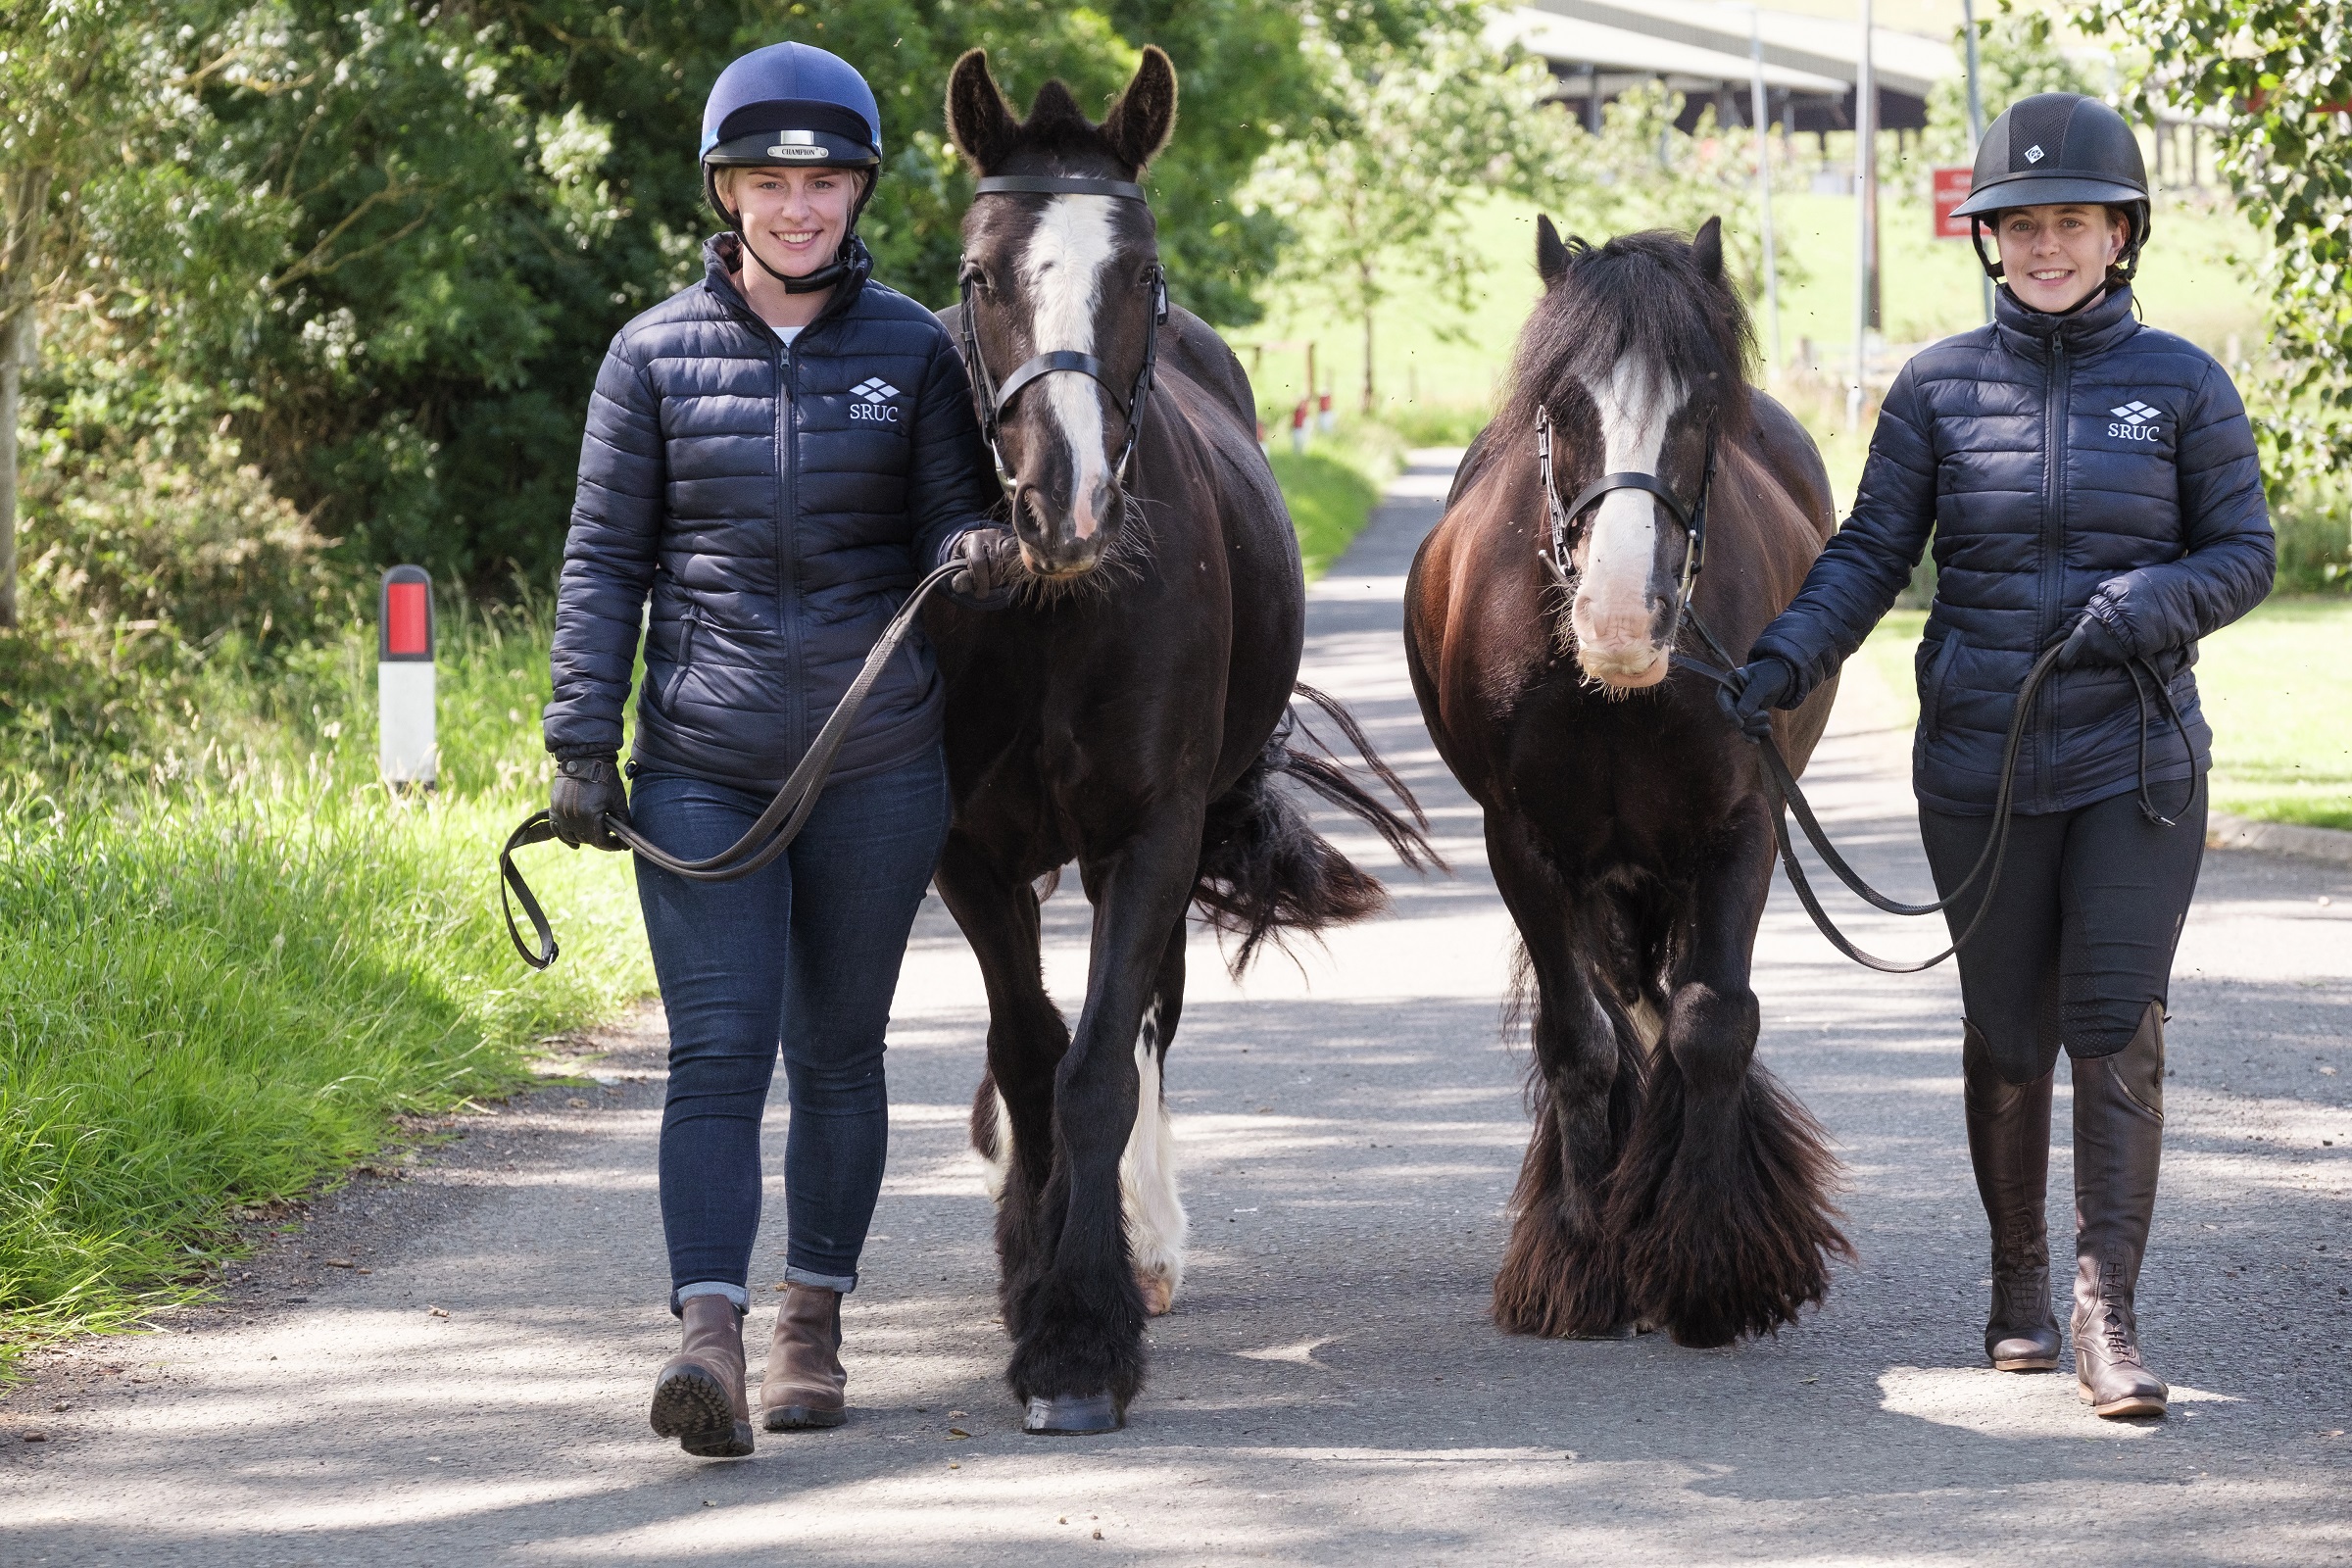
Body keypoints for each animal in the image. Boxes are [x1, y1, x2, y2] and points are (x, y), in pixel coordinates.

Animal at [925, 46, 1432, 1433]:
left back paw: (1141, 1242)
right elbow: (1029, 1053)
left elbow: (1100, 1063)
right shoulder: (968, 853)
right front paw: (1030, 1274)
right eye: (978, 273)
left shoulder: (1149, 830)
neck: (1049, 609)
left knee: (1148, 1015)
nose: (1067, 500)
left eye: (1141, 274)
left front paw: (1079, 1335)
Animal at [1402, 217, 1851, 1348]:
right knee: (1617, 1008)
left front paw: (1706, 1266)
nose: (1618, 619)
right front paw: (1582, 1260)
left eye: (1700, 406)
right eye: (1563, 406)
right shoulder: (1526, 846)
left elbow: (1711, 1023)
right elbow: (1581, 1041)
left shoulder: (1742, 827)